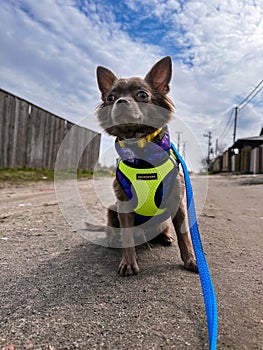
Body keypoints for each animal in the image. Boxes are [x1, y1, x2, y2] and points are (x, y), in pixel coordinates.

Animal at [96, 56, 198, 276]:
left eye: (142, 95)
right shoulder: (124, 203)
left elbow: (184, 235)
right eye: (110, 97)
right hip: (113, 208)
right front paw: (128, 263)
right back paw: (112, 239)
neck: (142, 153)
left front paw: (192, 259)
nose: (120, 102)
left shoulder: (177, 201)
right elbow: (127, 236)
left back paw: (165, 237)